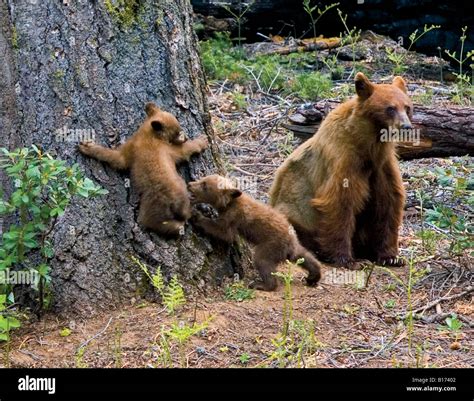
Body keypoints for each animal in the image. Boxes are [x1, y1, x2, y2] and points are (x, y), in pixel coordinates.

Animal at [270, 74, 412, 270]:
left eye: (407, 107)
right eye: (390, 108)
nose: (406, 126)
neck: (368, 145)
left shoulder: (382, 166)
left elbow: (389, 202)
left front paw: (391, 256)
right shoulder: (343, 159)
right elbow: (340, 202)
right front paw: (347, 259)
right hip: (291, 212)